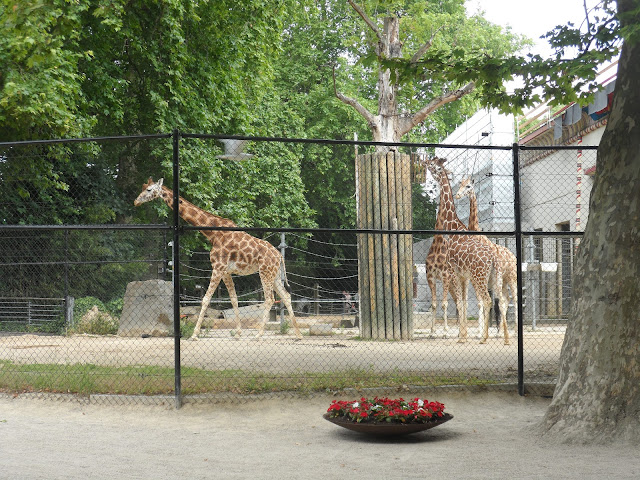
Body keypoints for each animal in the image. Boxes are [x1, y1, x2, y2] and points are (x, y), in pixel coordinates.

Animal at [133, 178, 302, 340]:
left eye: (149, 189)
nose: (136, 201)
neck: (213, 233)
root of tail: (279, 255)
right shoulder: (226, 272)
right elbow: (234, 299)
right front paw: (238, 333)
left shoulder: (218, 267)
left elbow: (206, 299)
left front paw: (194, 335)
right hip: (274, 275)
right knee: (286, 296)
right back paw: (297, 334)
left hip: (265, 272)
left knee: (269, 299)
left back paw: (259, 334)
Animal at [456, 178, 516, 344]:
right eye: (460, 184)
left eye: (468, 186)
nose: (457, 195)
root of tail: (513, 255)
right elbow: (483, 302)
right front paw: (480, 333)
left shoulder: (476, 277)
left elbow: (481, 301)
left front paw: (479, 333)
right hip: (502, 281)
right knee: (504, 300)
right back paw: (501, 334)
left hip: (511, 278)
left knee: (513, 299)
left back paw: (512, 332)